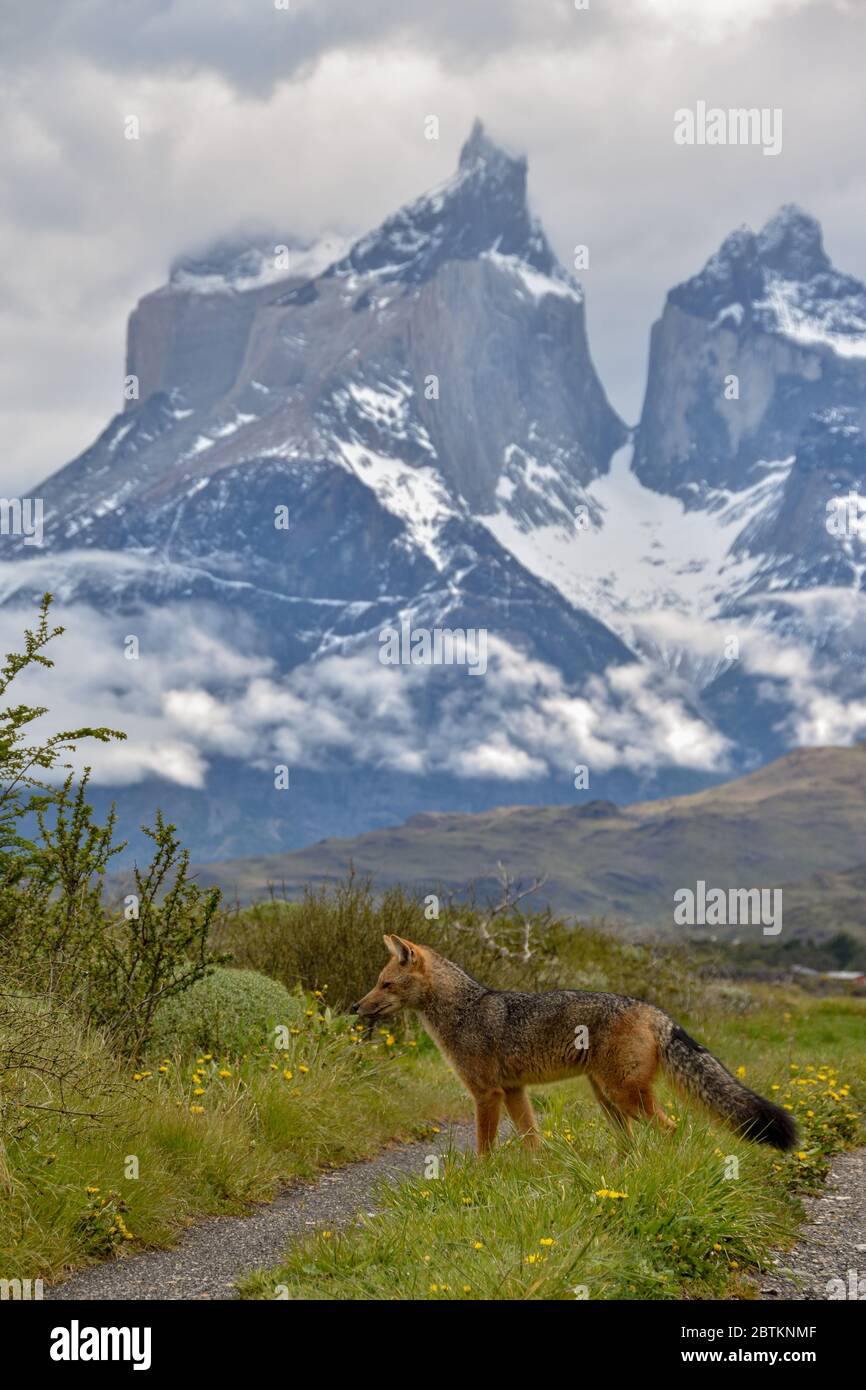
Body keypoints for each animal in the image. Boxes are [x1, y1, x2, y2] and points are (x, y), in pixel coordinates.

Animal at [354, 939, 800, 1156]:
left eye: (385, 984)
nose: (356, 1007)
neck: (464, 1009)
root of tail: (654, 1010)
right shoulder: (514, 1091)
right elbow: (532, 1140)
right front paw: (537, 1175)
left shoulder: (487, 1094)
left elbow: (484, 1148)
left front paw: (481, 1180)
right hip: (608, 1100)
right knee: (634, 1141)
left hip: (624, 1097)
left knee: (672, 1129)